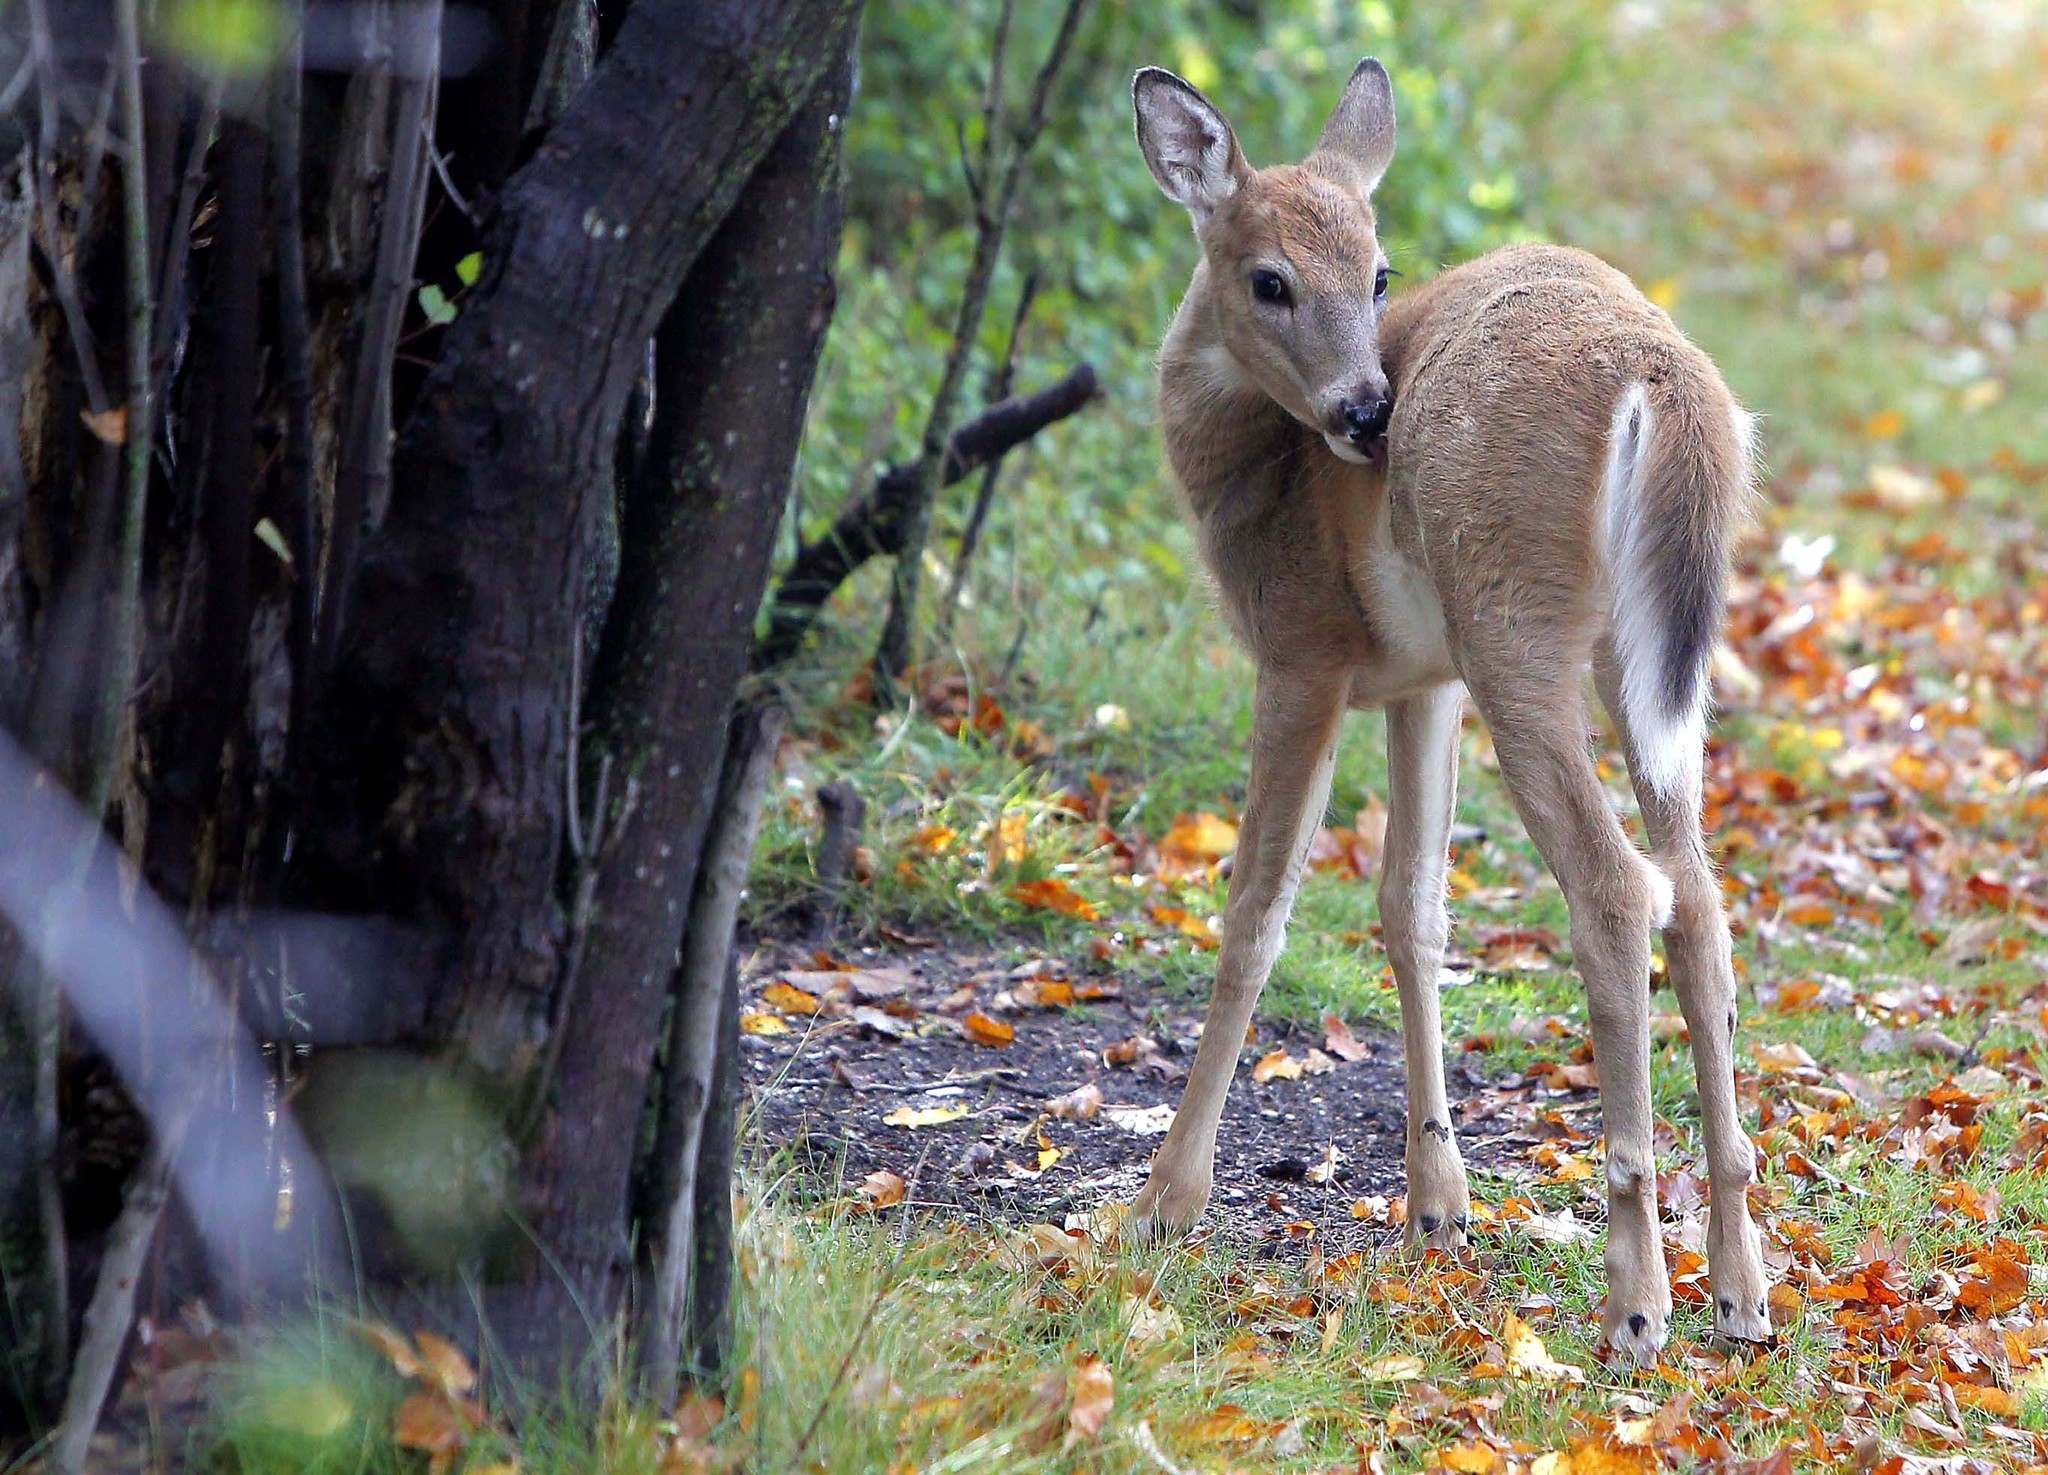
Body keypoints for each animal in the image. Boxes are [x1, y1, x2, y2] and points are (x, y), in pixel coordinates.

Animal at [1130, 63, 1769, 1368]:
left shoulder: (1304, 655)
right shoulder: (1418, 684)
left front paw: (1168, 1196)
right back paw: (1737, 1288)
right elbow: (1410, 909)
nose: (1367, 413)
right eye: (1270, 278)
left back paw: (1636, 1301)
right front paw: (1437, 1205)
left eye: (1375, 272)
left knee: (1616, 888)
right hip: (1640, 659)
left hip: (1511, 623)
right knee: (1698, 896)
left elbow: (1255, 910)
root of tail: (1659, 377)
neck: (1255, 480)